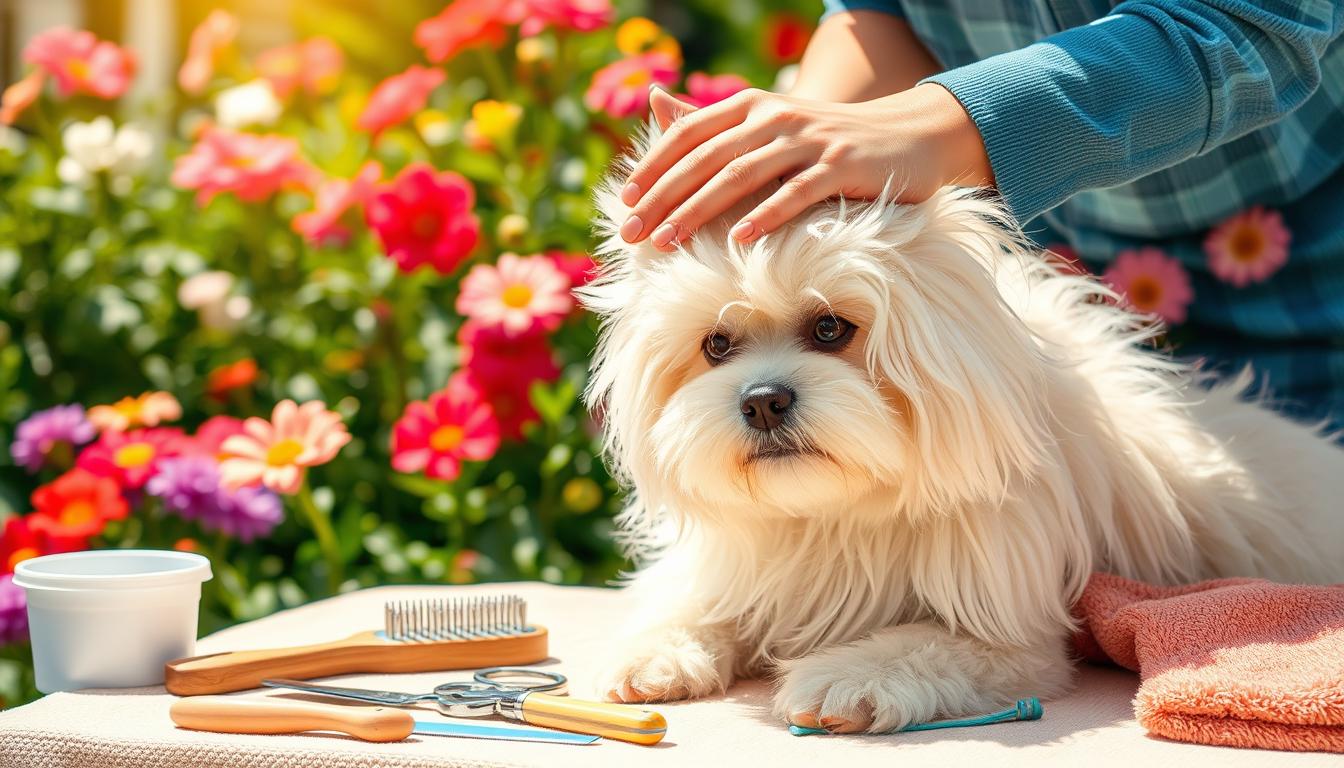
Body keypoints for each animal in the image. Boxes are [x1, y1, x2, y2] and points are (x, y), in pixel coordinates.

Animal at [583, 136, 1344, 731]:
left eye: (830, 328)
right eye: (716, 345)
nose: (764, 402)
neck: (832, 513)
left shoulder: (1011, 635)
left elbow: (919, 643)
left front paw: (842, 681)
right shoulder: (740, 565)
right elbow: (689, 606)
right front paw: (651, 654)